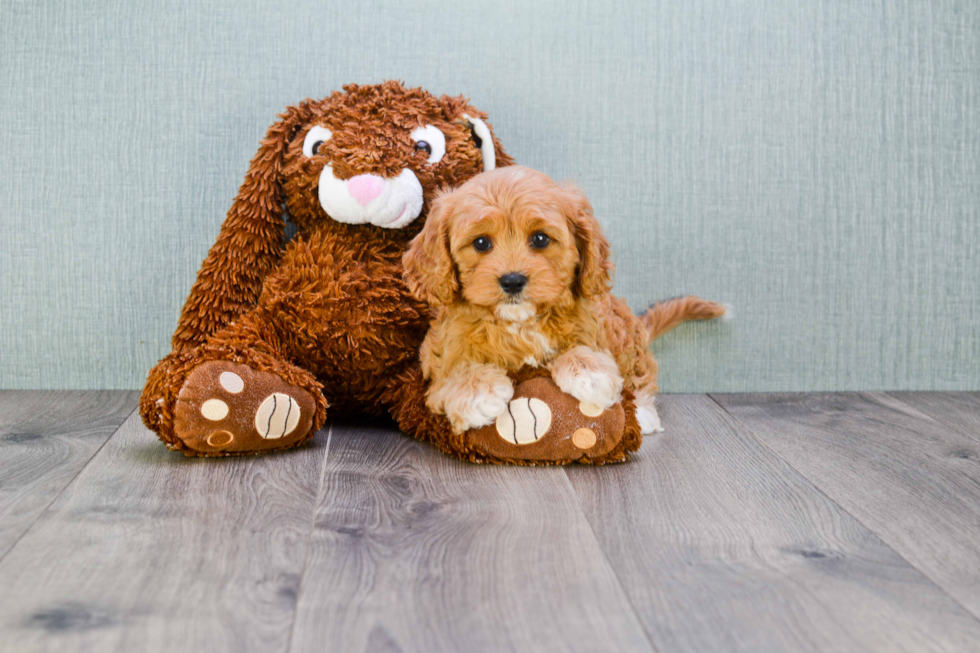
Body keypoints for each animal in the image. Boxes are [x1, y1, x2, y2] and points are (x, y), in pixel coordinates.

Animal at [402, 166, 724, 436]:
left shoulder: (596, 329)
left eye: (540, 239)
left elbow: (581, 349)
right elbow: (457, 368)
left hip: (626, 334)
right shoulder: (439, 354)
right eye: (481, 243)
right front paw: (476, 392)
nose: (512, 280)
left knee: (640, 372)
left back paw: (643, 415)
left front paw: (590, 373)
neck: (520, 322)